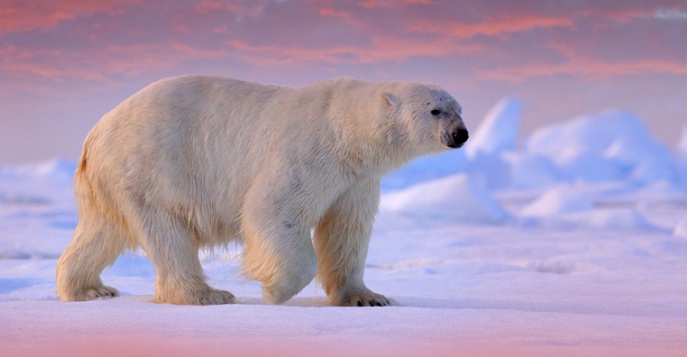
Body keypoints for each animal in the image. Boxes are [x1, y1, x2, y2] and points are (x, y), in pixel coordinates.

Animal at [56, 75, 470, 306]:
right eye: (435, 110)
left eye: (459, 108)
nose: (461, 134)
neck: (345, 130)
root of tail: (95, 134)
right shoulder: (308, 153)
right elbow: (273, 209)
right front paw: (275, 291)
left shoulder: (354, 181)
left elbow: (346, 231)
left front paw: (368, 297)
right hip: (153, 167)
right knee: (168, 233)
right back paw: (206, 295)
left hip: (113, 182)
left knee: (102, 231)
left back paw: (89, 289)